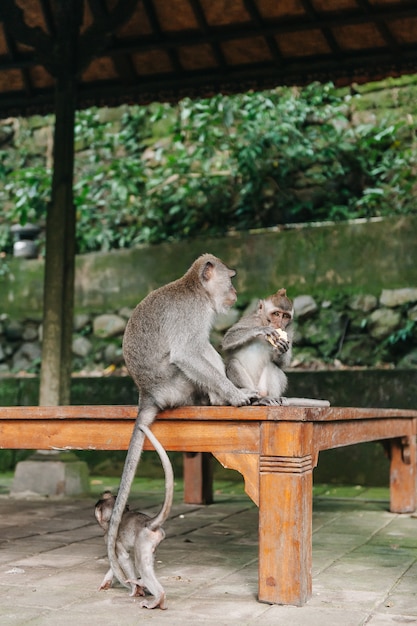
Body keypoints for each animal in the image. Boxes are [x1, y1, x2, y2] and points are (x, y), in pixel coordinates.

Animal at [107, 252, 256, 596]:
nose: (236, 293)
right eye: (231, 278)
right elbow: (187, 353)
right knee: (197, 353)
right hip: (176, 386)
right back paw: (217, 399)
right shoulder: (193, 314)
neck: (195, 290)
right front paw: (235, 395)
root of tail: (148, 394)